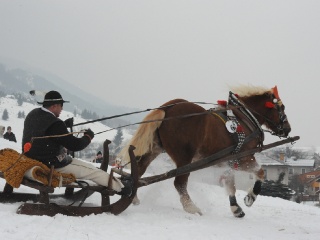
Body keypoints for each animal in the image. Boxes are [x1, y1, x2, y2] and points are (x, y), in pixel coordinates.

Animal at [119, 85, 292, 218]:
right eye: (281, 107)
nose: (288, 129)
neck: (244, 118)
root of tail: (169, 107)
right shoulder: (244, 158)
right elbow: (261, 173)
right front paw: (250, 197)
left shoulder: (228, 161)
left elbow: (231, 185)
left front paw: (235, 209)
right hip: (184, 156)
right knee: (179, 182)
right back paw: (190, 206)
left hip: (155, 148)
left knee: (139, 170)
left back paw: (133, 196)